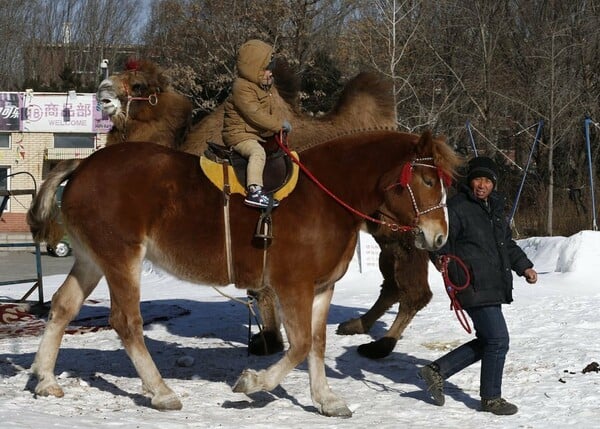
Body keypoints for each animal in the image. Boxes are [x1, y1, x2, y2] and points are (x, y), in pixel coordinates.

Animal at [27, 130, 454, 414]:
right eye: (427, 179)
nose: (439, 237)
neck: (325, 198)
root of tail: (83, 164)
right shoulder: (293, 286)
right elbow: (300, 345)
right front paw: (254, 382)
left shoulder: (321, 288)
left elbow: (316, 344)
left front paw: (325, 399)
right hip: (121, 259)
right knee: (126, 321)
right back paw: (160, 390)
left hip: (91, 260)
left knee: (62, 307)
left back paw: (46, 379)